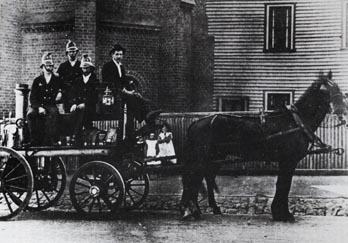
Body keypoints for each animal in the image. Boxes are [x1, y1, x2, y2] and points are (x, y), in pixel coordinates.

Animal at [181, 71, 348, 221]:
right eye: (330, 90)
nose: (344, 113)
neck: (295, 123)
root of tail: (196, 123)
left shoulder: (286, 161)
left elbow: (282, 184)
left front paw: (280, 213)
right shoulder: (289, 160)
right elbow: (284, 185)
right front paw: (283, 214)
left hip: (215, 157)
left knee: (205, 177)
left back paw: (204, 208)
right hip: (204, 157)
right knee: (195, 177)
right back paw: (193, 210)